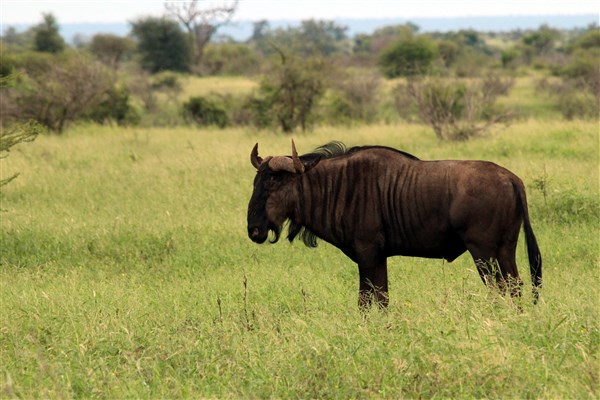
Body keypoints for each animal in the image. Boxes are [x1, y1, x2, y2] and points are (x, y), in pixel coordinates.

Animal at [247, 141, 542, 308]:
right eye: (256, 182)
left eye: (274, 181)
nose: (254, 230)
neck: (338, 186)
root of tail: (511, 178)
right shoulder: (377, 258)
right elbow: (379, 298)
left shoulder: (368, 254)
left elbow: (370, 301)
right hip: (505, 250)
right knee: (515, 287)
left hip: (484, 252)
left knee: (501, 288)